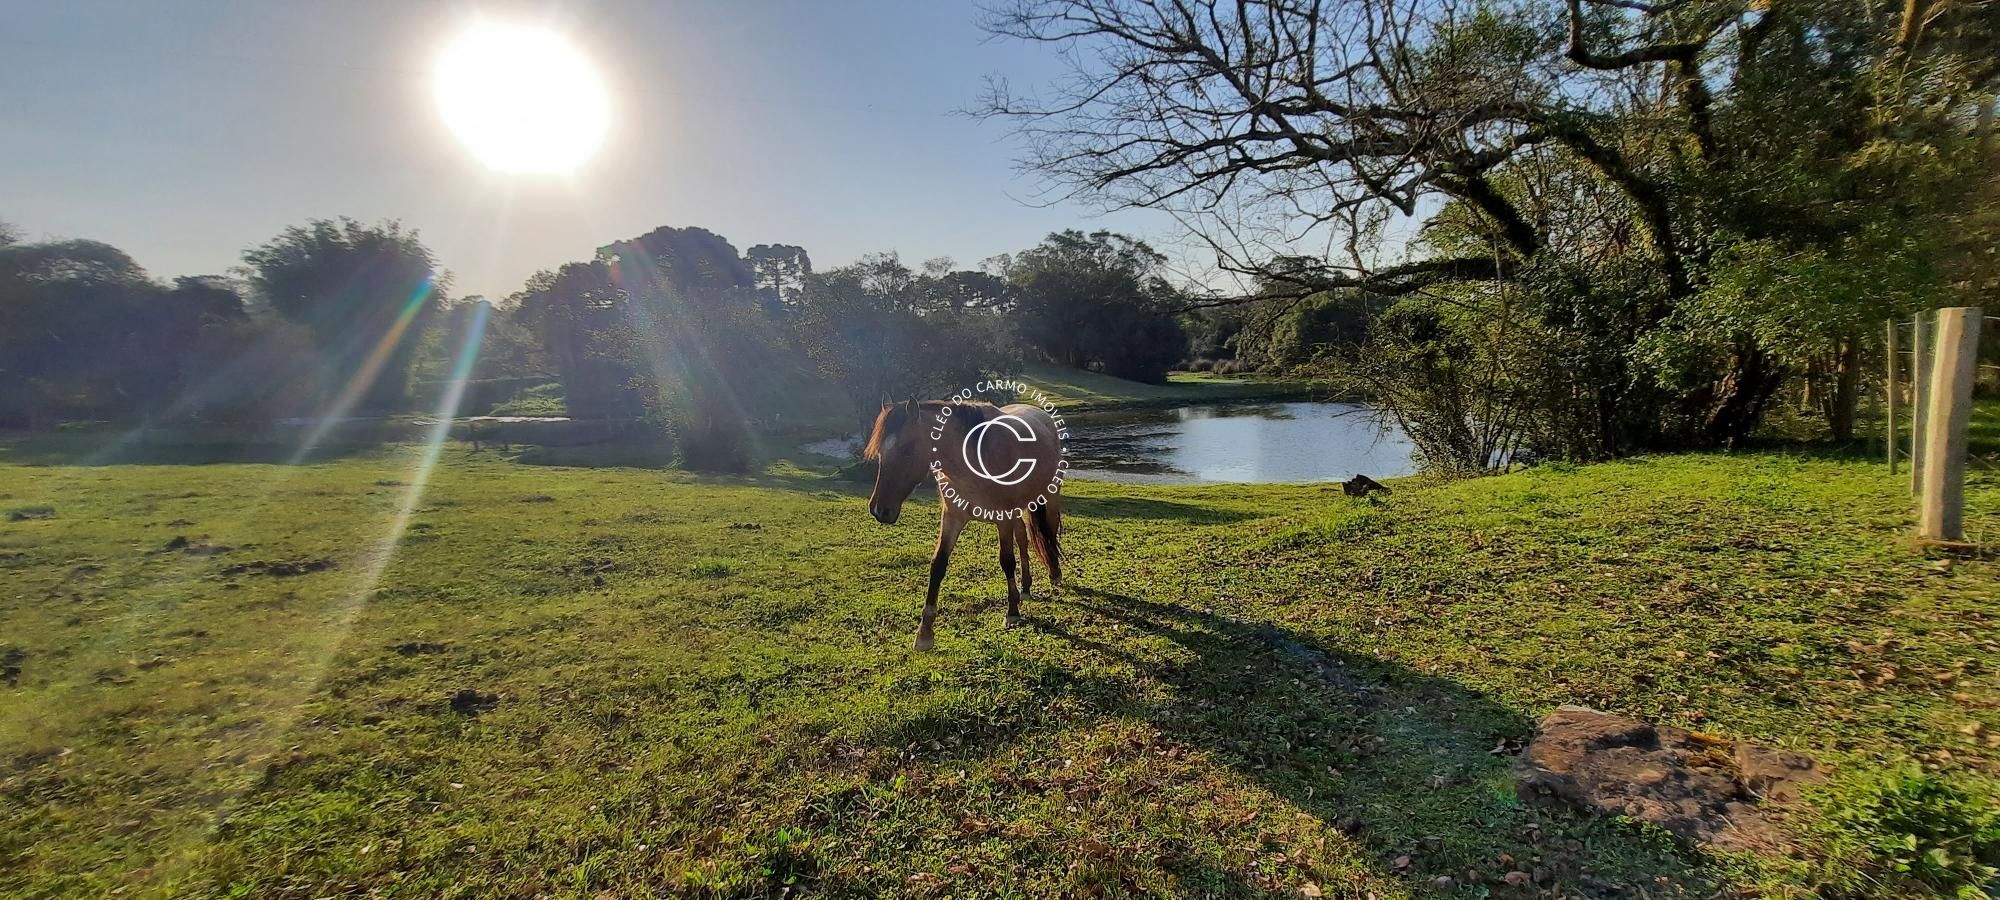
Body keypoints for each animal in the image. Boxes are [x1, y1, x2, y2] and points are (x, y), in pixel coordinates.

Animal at [868, 400, 1072, 648]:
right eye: (880, 452)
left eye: (907, 449)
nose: (879, 510)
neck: (975, 460)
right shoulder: (952, 518)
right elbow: (938, 564)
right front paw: (924, 633)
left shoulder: (1003, 519)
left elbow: (1007, 561)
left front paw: (1012, 613)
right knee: (1023, 540)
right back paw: (1025, 587)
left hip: (1048, 498)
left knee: (1049, 533)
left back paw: (1055, 574)